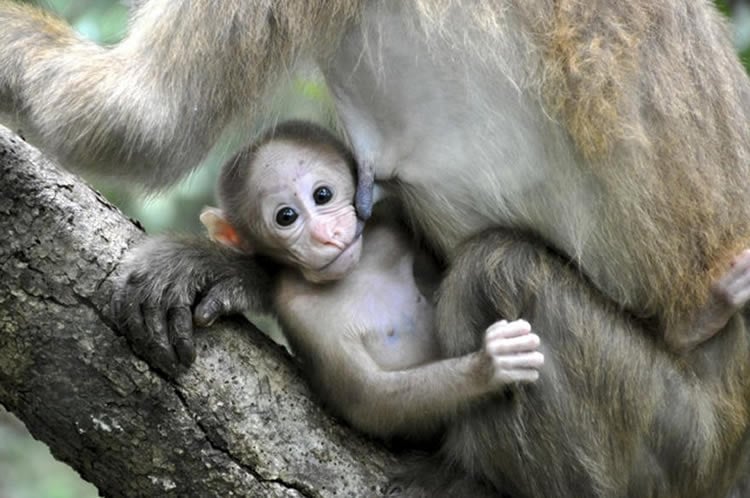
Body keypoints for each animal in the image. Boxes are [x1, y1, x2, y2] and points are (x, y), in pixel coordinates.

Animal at [201, 121, 548, 440]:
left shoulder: (389, 223)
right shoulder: (300, 311)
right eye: (286, 216)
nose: (325, 235)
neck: (358, 269)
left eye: (322, 195)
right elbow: (370, 401)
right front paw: (488, 366)